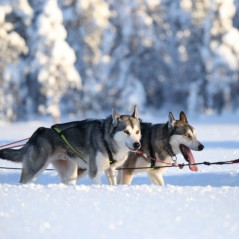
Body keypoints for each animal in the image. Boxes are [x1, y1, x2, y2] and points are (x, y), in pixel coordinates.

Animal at [0, 106, 141, 185]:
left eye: (137, 131)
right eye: (126, 131)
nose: (137, 144)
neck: (106, 139)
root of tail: (36, 134)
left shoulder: (110, 170)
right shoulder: (94, 172)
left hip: (71, 173)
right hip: (35, 168)